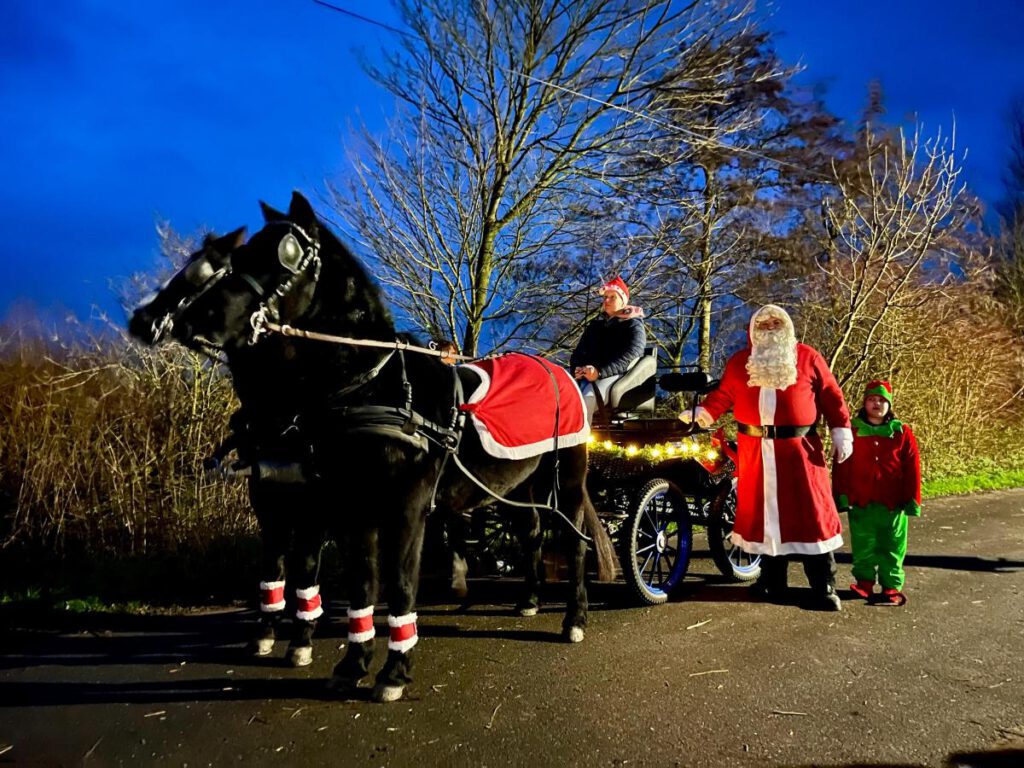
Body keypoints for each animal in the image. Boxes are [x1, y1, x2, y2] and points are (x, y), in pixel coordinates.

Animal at [126, 192, 606, 704]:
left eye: (282, 255)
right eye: (240, 256)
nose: (158, 320)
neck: (368, 388)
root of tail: (559, 370)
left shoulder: (397, 508)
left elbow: (395, 584)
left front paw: (393, 670)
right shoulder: (343, 507)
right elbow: (355, 582)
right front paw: (350, 662)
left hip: (567, 478)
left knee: (573, 541)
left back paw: (574, 617)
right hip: (516, 486)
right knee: (532, 534)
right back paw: (529, 600)